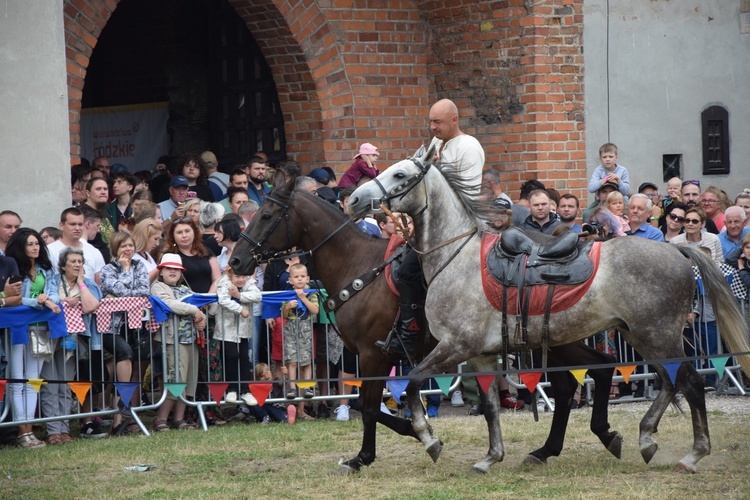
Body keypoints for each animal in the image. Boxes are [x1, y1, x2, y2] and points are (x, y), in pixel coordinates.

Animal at [352, 144, 750, 472]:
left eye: (400, 175)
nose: (355, 199)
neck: (456, 256)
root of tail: (678, 251)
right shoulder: (480, 354)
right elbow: (490, 406)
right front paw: (490, 457)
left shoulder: (454, 346)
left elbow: (413, 385)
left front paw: (428, 437)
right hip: (640, 335)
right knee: (670, 382)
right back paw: (645, 437)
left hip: (658, 335)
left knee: (691, 383)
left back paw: (692, 454)